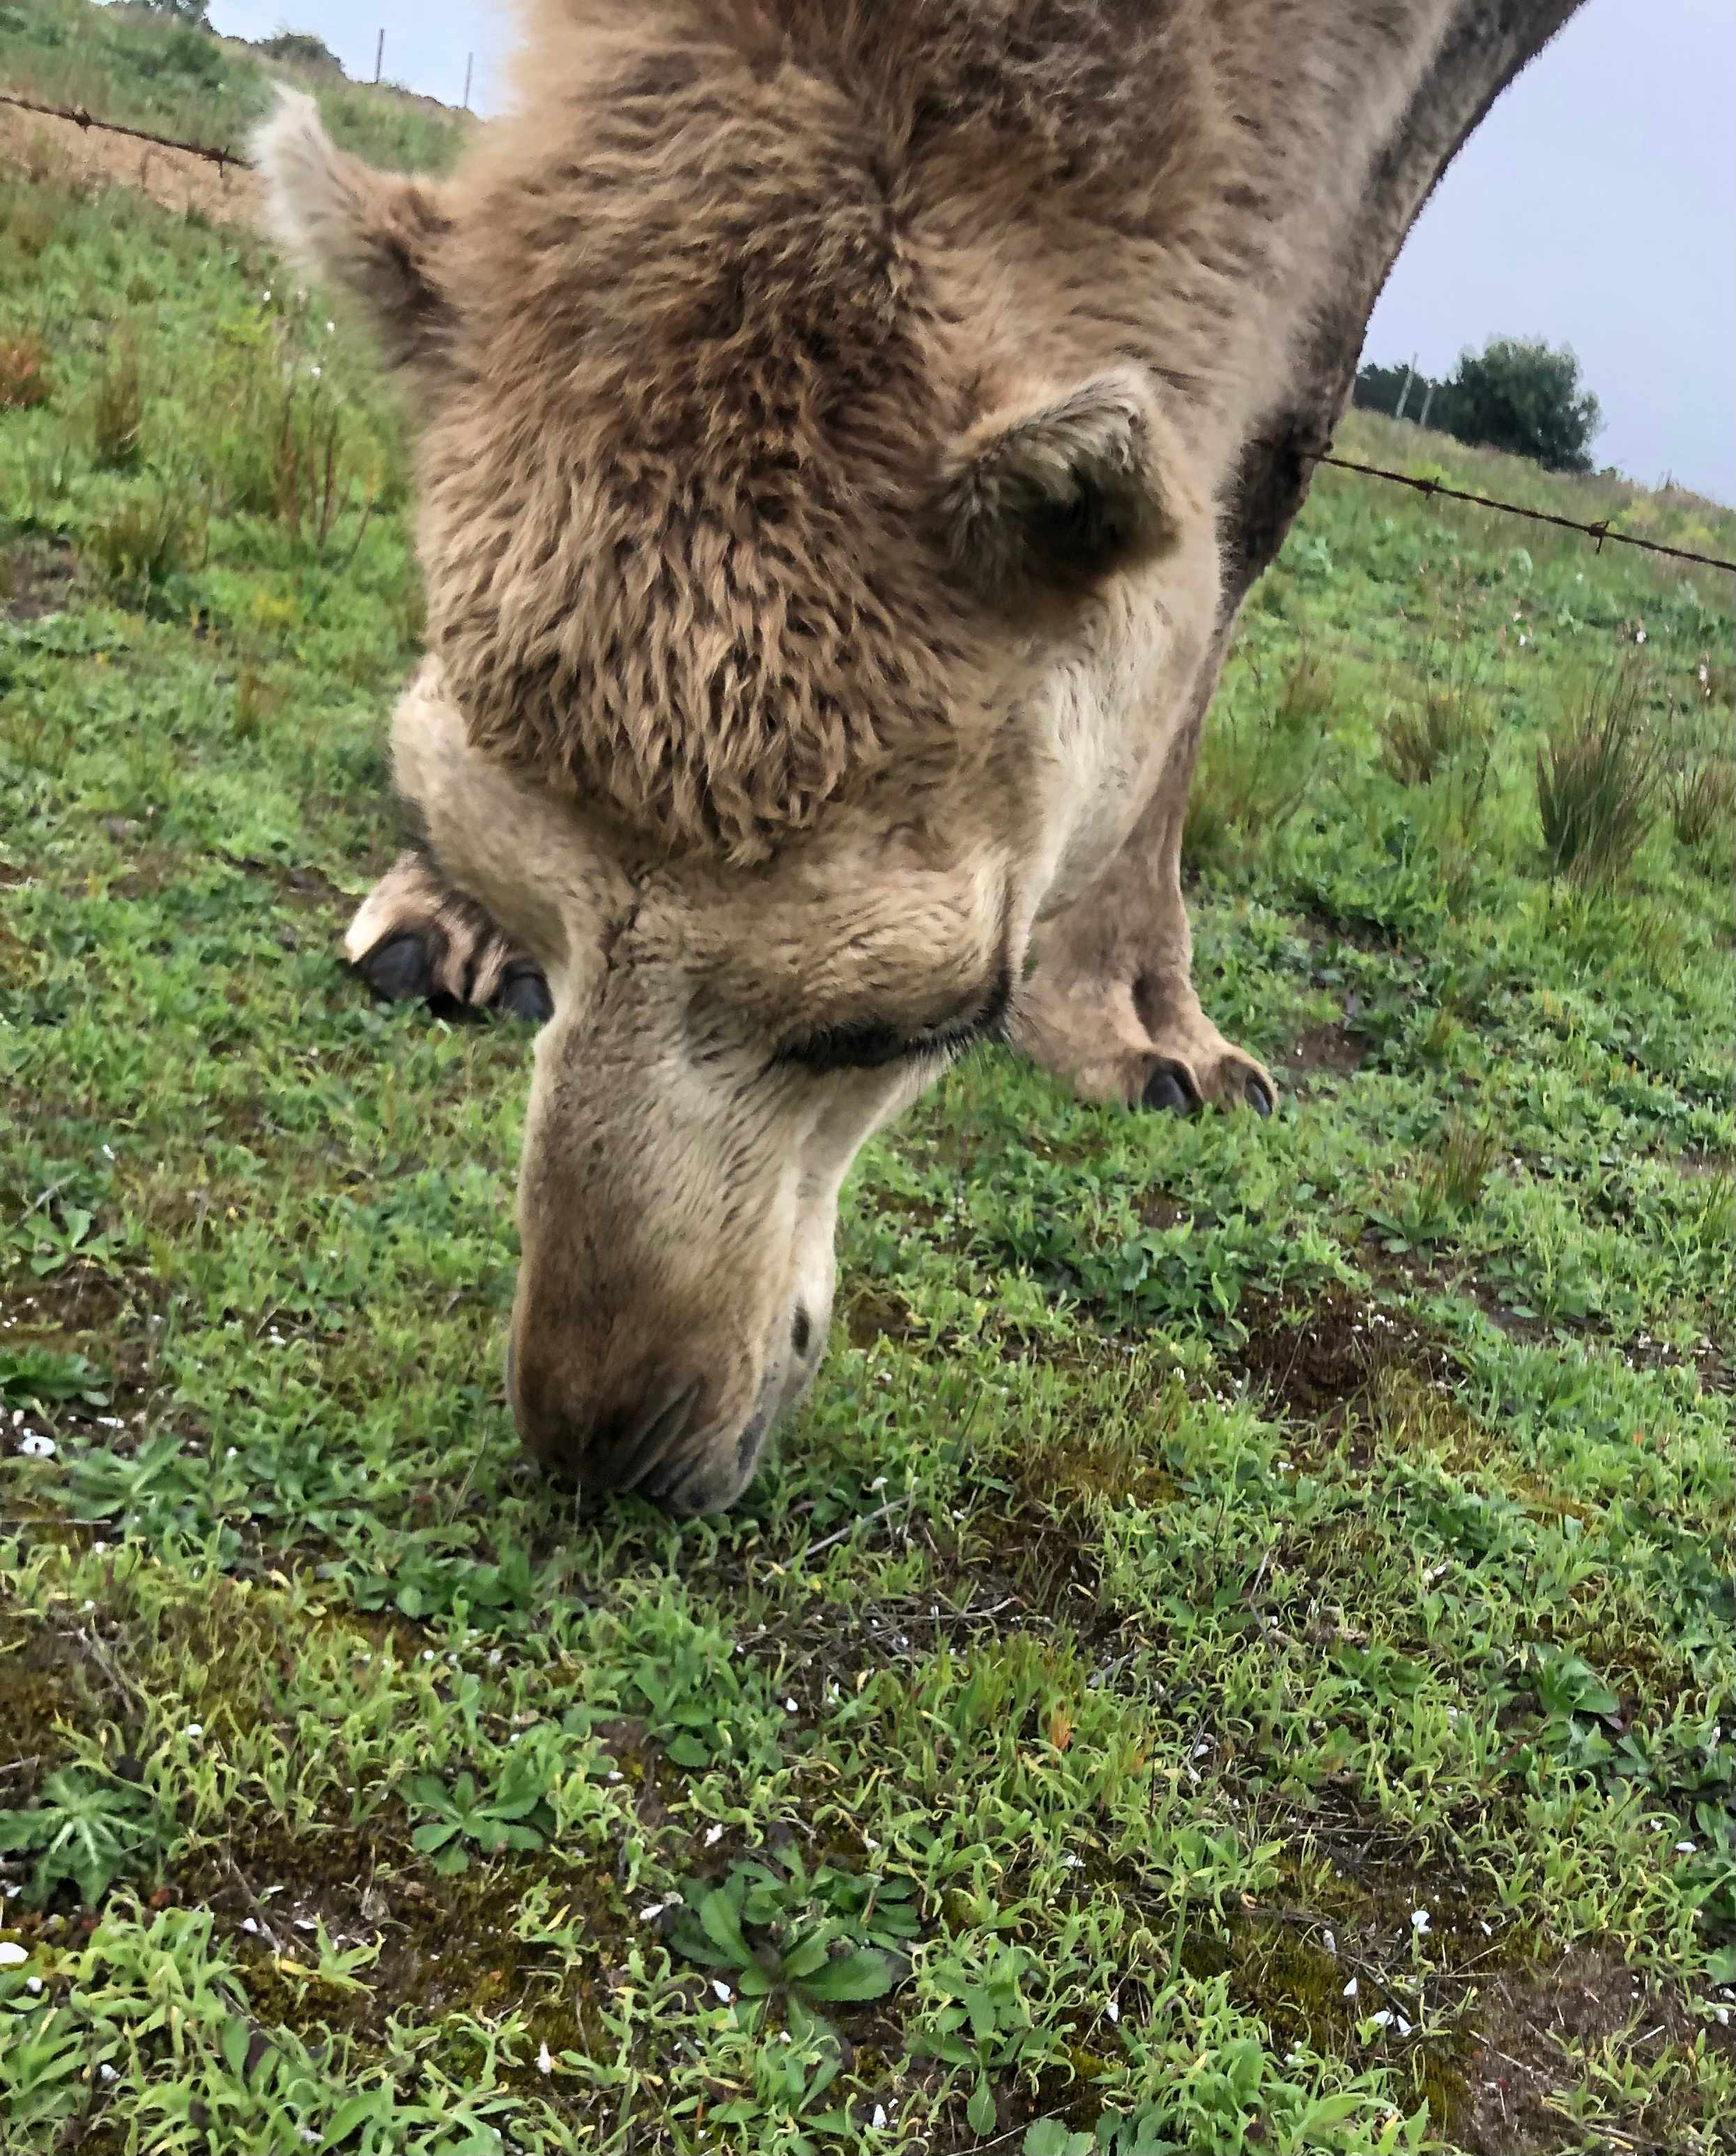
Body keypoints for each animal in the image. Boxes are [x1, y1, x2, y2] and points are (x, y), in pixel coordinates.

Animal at [258, 0, 1584, 1514]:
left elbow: (1270, 460)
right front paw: (449, 917)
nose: (609, 1429)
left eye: (912, 1018)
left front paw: (1140, 1021)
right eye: (456, 835)